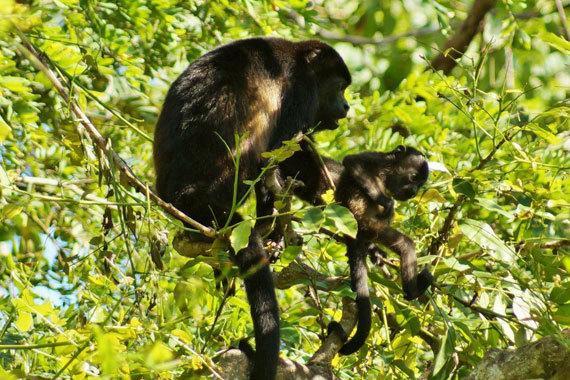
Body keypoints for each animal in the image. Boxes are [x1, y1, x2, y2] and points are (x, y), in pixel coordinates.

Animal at [151, 36, 348, 380]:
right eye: (339, 88)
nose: (347, 106)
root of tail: (183, 195)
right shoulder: (299, 94)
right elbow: (282, 153)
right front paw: (274, 231)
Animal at [276, 146, 430, 356]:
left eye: (420, 185)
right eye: (413, 177)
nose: (414, 192)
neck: (388, 174)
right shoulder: (378, 159)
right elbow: (353, 161)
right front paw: (386, 202)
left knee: (404, 244)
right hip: (370, 224)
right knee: (405, 243)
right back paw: (413, 290)